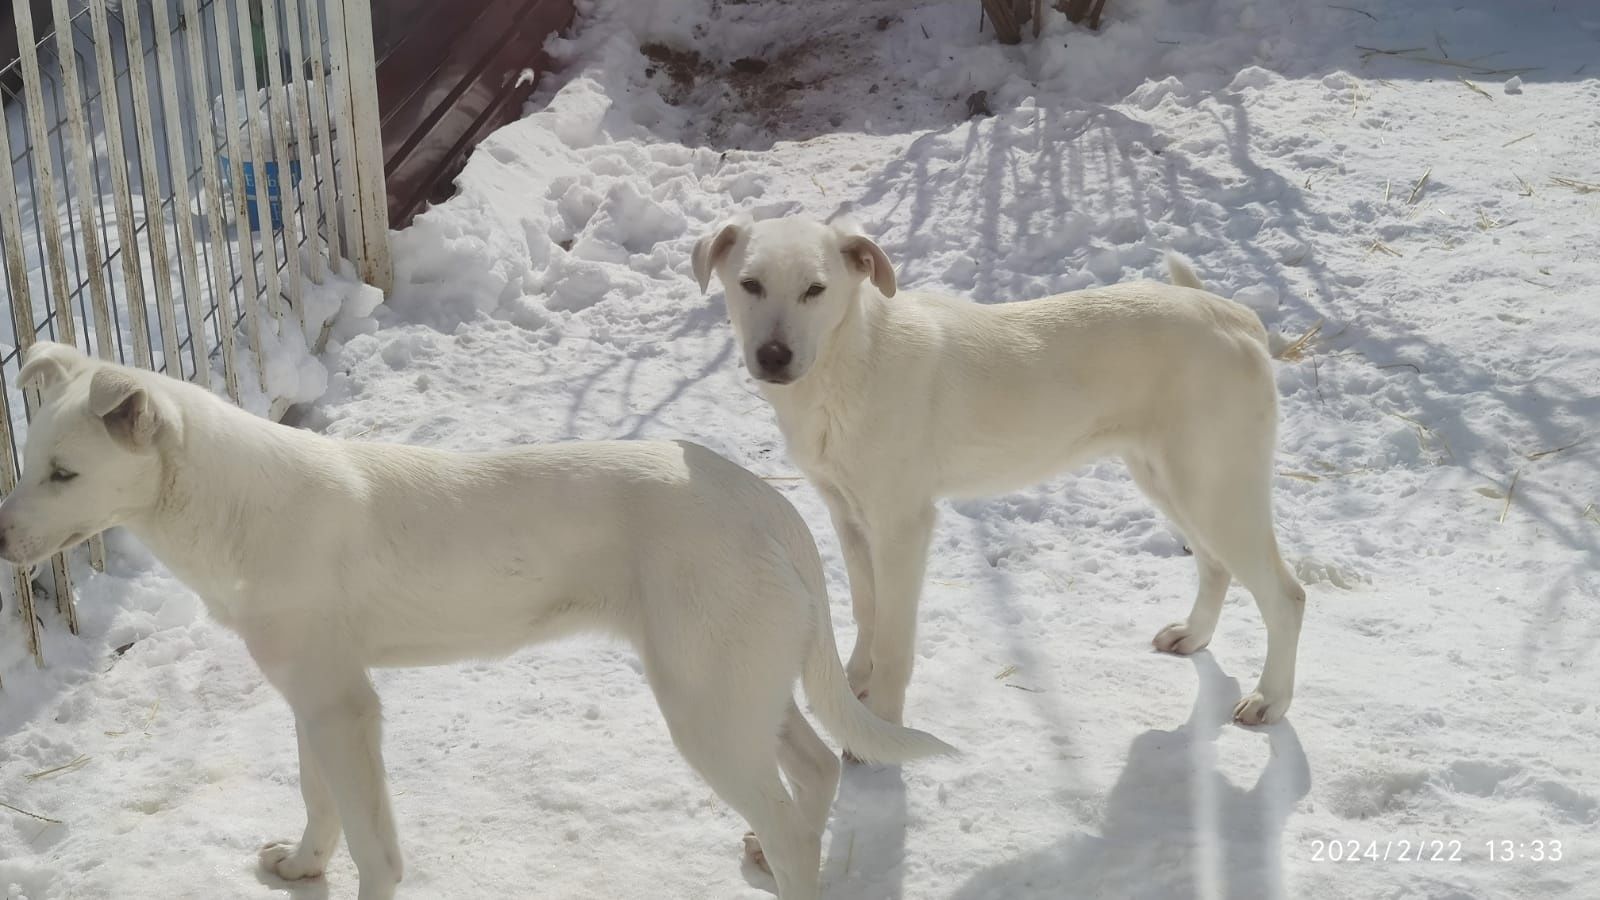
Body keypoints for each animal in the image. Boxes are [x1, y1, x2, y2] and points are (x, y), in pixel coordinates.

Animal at [0, 341, 947, 896]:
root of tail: (768, 505)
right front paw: (302, 868)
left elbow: (376, 846)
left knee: (790, 811)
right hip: (740, 681)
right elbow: (319, 800)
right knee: (815, 769)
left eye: (64, 474)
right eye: (30, 462)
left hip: (706, 706)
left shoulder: (345, 708)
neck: (231, 504)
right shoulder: (314, 697)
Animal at [694, 217, 1305, 730]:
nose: (774, 355)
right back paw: (1193, 636)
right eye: (750, 284)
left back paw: (1270, 700)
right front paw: (852, 687)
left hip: (1216, 488)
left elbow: (894, 638)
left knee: (1286, 596)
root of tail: (1238, 316)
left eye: (815, 290)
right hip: (1168, 480)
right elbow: (868, 612)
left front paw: (883, 728)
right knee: (1215, 566)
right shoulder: (848, 517)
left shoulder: (903, 526)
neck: (847, 363)